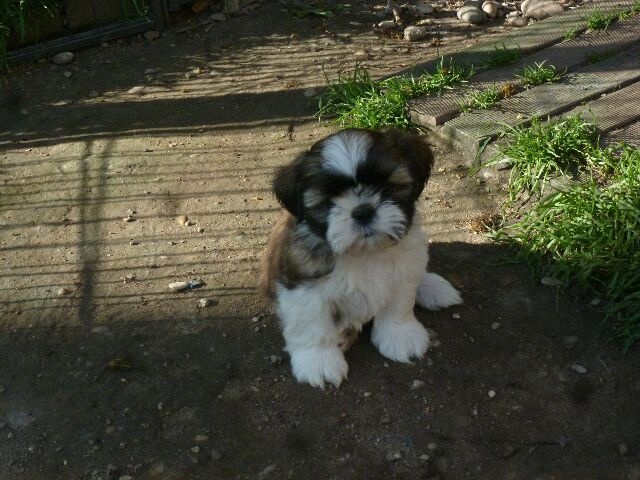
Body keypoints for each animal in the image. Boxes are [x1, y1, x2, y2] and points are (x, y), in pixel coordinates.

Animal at [258, 128, 462, 388]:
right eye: (330, 201)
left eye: (386, 188)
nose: (363, 211)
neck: (363, 254)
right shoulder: (301, 282)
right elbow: (312, 324)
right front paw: (319, 361)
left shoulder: (402, 273)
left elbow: (399, 305)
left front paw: (400, 335)